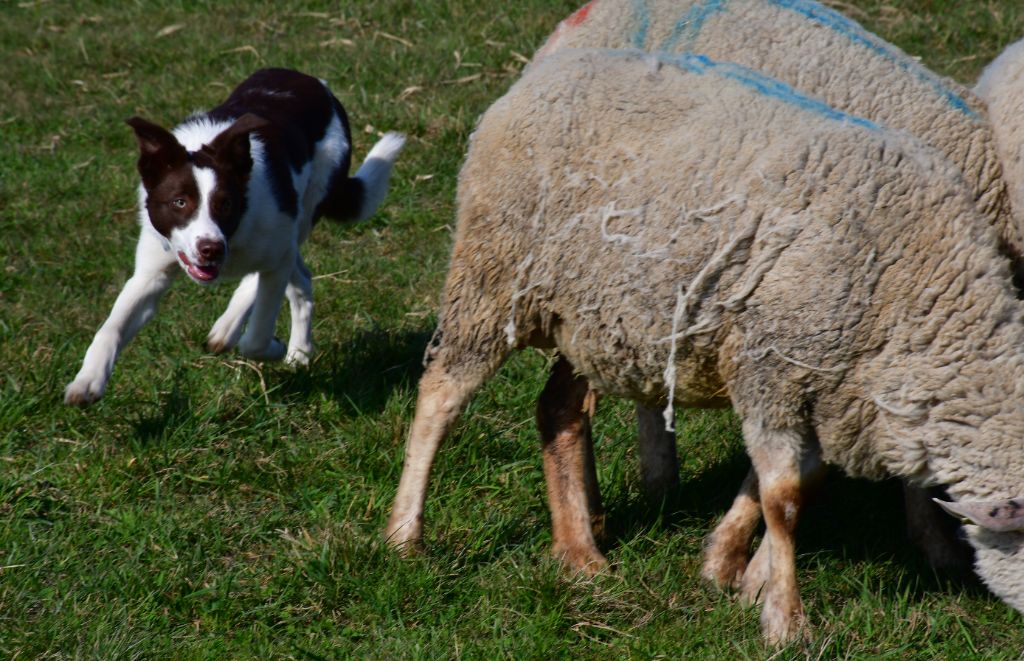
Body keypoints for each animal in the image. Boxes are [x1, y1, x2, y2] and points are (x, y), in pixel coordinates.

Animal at [65, 70, 403, 407]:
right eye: (179, 202)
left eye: (225, 204)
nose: (211, 249)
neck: (234, 236)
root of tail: (314, 83)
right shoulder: (151, 274)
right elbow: (110, 328)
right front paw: (88, 381)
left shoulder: (274, 250)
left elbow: (256, 336)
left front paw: (272, 346)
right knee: (302, 279)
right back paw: (299, 351)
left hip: (305, 209)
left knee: (274, 272)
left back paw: (237, 331)